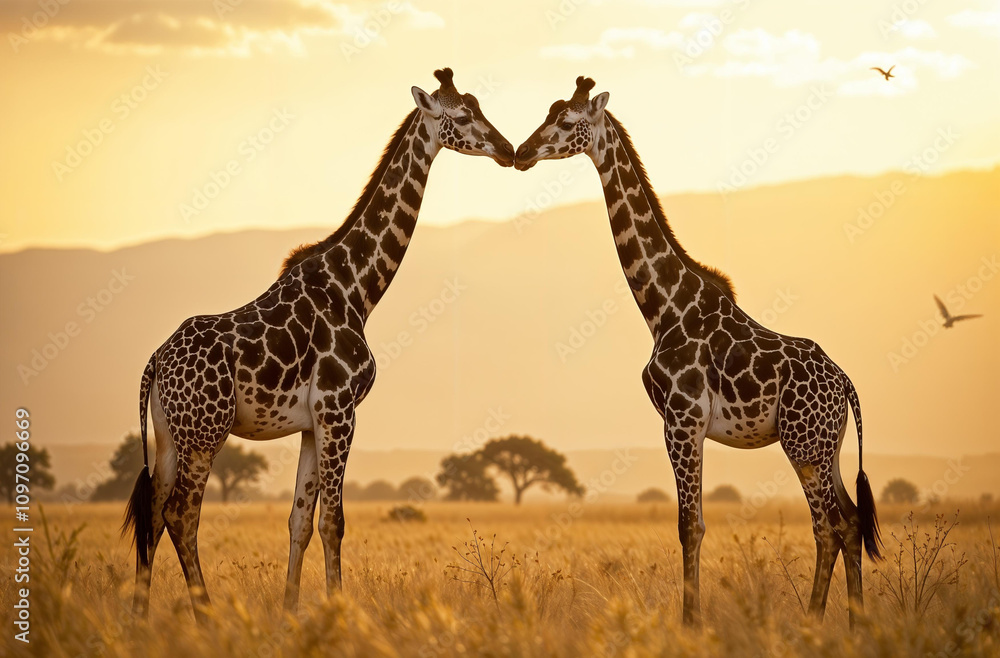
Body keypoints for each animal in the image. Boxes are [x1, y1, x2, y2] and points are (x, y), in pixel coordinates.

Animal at [123, 68, 514, 621]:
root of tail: (155, 362)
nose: (507, 149)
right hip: (204, 433)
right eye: (460, 116)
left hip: (169, 433)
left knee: (154, 511)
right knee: (180, 514)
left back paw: (139, 617)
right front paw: (338, 610)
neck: (356, 289)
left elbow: (300, 520)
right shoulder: (339, 409)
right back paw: (206, 616)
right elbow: (334, 521)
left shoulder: (312, 422)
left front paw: (291, 611)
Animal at [514, 77, 882, 627]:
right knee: (853, 522)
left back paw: (813, 622)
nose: (521, 153)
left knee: (829, 526)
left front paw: (691, 624)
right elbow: (696, 522)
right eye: (547, 112)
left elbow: (690, 525)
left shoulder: (681, 420)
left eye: (567, 120)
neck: (663, 306)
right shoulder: (686, 425)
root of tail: (846, 386)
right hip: (827, 447)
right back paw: (855, 623)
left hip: (803, 445)